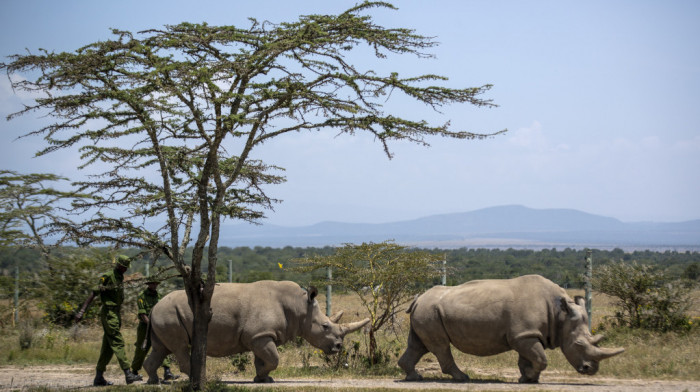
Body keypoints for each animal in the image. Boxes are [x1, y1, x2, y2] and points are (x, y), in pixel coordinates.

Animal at [144, 280, 370, 384]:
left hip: (164, 314)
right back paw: (200, 379)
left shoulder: (260, 335)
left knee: (160, 348)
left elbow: (263, 360)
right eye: (325, 326)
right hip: (169, 314)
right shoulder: (260, 335)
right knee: (180, 347)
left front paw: (262, 380)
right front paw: (263, 378)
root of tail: (154, 307)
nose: (338, 347)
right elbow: (274, 359)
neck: (299, 307)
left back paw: (154, 381)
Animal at [400, 276, 624, 382]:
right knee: (440, 346)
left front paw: (527, 379)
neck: (560, 314)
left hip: (428, 311)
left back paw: (414, 377)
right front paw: (530, 377)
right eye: (578, 344)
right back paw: (462, 378)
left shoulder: (526, 334)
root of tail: (418, 298)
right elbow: (541, 359)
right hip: (430, 311)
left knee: (419, 345)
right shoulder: (524, 335)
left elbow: (528, 359)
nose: (590, 370)